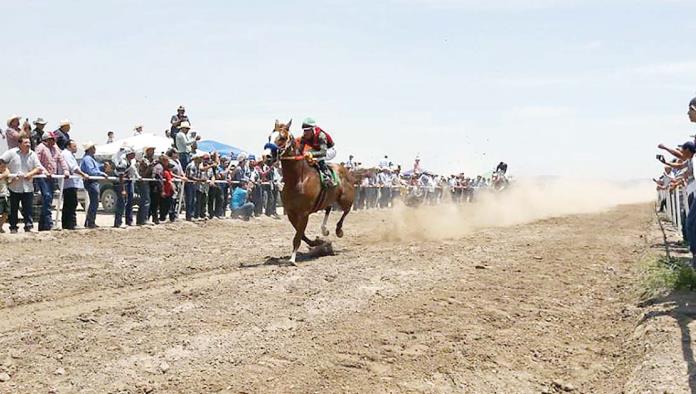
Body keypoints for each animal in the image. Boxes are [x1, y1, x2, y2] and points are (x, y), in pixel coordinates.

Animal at [264, 118, 356, 264]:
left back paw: (338, 230)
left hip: (345, 199)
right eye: (269, 137)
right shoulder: (291, 212)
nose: (266, 156)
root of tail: (345, 170)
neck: (298, 180)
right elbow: (301, 234)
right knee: (329, 208)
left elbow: (298, 236)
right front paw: (318, 243)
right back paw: (324, 230)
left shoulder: (304, 213)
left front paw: (292, 259)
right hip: (327, 199)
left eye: (282, 137)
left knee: (346, 211)